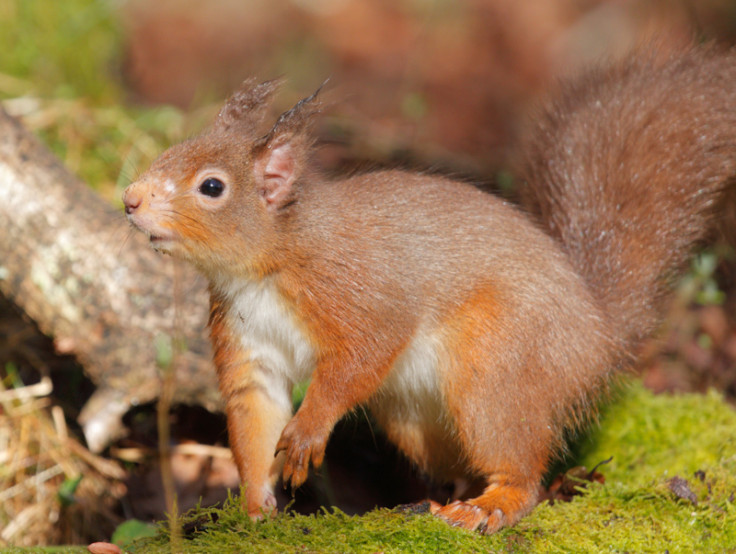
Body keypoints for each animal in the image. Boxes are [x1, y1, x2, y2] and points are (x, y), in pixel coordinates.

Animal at [122, 46, 736, 532]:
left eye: (212, 187)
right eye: (169, 152)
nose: (129, 199)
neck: (264, 267)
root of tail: (599, 337)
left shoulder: (355, 289)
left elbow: (360, 356)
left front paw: (307, 434)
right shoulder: (249, 345)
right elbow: (255, 416)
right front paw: (254, 507)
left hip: (495, 365)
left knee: (522, 469)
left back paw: (488, 505)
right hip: (415, 420)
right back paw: (446, 496)